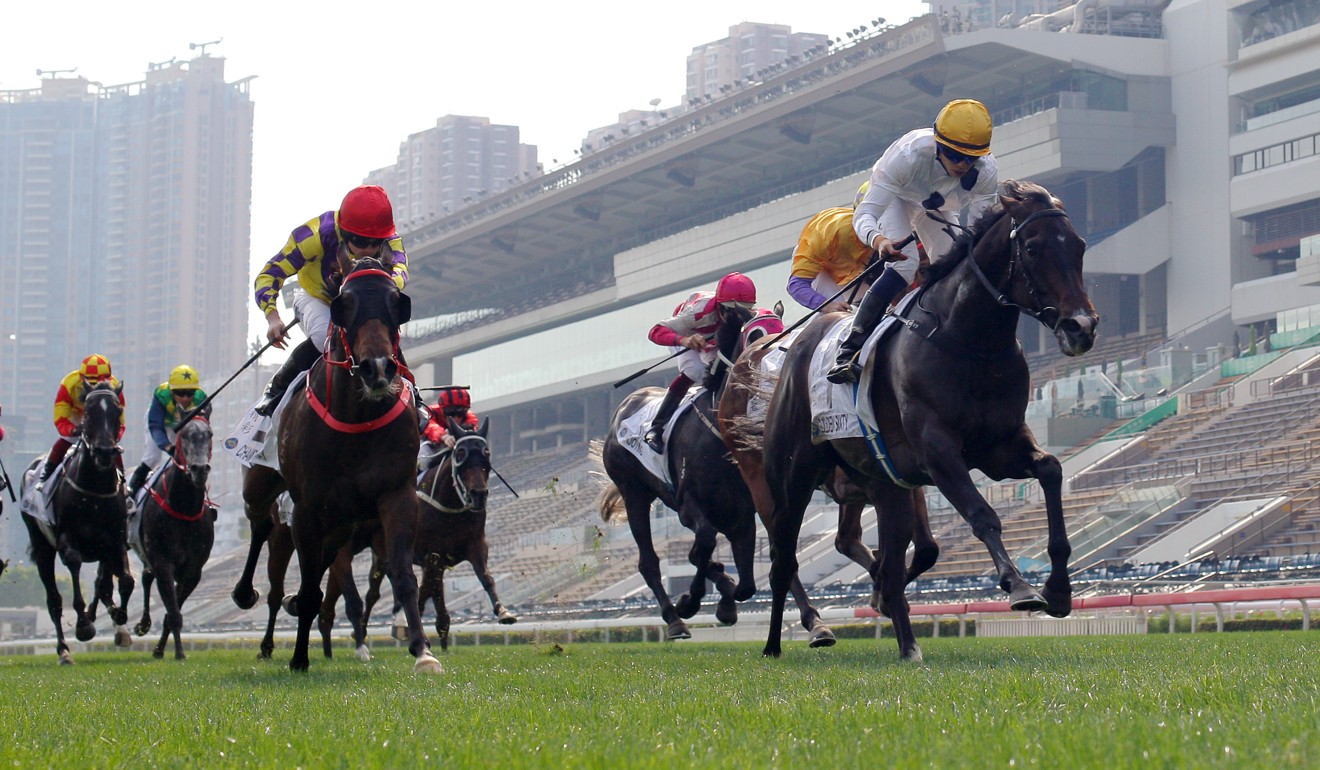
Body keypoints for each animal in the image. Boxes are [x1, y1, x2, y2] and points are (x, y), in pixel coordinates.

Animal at [274, 258, 438, 676]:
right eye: (343, 303)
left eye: (397, 302)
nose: (377, 368)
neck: (357, 419)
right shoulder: (308, 511)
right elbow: (312, 586)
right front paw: (299, 658)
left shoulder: (397, 495)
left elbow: (403, 575)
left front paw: (423, 651)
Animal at [601, 303, 828, 647]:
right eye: (756, 334)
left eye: (781, 326)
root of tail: (626, 404)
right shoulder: (688, 505)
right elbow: (704, 546)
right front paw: (692, 601)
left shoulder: (747, 509)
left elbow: (758, 569)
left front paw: (815, 623)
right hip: (633, 492)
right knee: (649, 562)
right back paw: (675, 621)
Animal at [760, 182, 1098, 663]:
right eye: (1032, 248)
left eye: (1079, 246)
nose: (1081, 327)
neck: (969, 341)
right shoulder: (938, 449)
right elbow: (982, 514)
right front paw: (1019, 586)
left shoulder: (1000, 446)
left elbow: (1050, 470)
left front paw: (1059, 589)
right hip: (791, 480)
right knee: (783, 557)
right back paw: (783, 641)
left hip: (887, 486)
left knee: (892, 562)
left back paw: (907, 645)